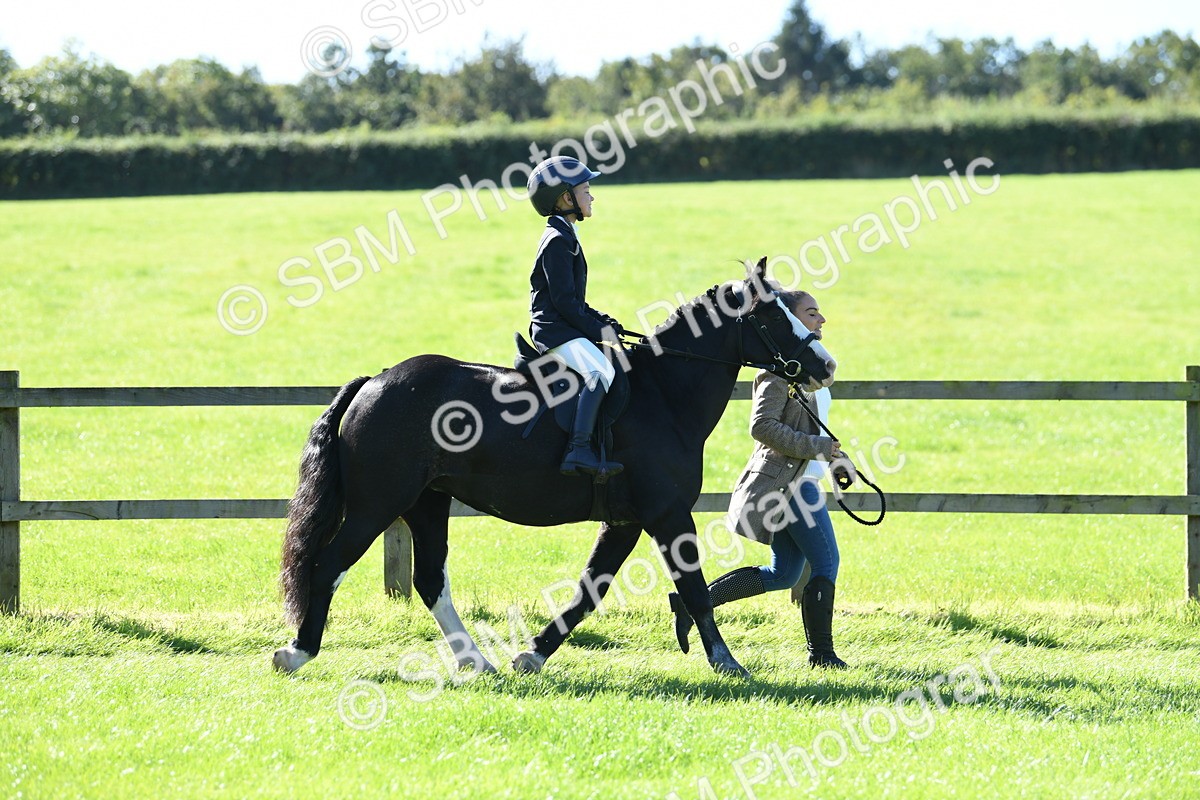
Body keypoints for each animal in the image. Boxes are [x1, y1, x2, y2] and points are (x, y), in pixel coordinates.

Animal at [273, 258, 836, 678]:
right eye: (774, 317)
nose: (825, 366)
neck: (663, 394)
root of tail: (377, 380)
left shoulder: (627, 521)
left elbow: (590, 590)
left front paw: (532, 654)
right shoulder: (668, 514)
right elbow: (693, 587)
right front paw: (727, 662)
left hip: (427, 503)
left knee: (430, 579)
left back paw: (477, 662)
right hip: (377, 504)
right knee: (329, 564)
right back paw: (297, 652)